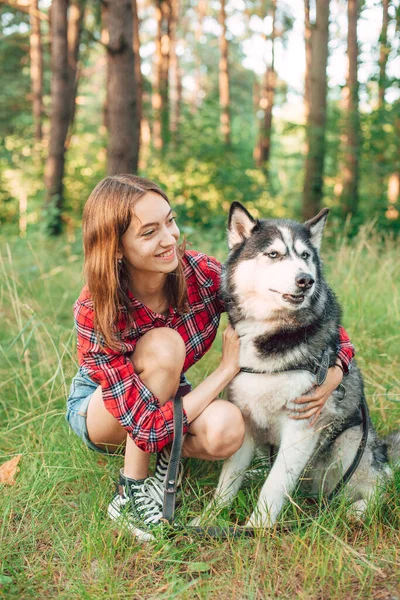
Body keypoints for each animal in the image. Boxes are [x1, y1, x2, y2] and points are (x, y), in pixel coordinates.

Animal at [197, 204, 396, 528]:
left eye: (305, 255)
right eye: (273, 254)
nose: (305, 280)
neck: (270, 333)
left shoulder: (301, 427)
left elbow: (273, 486)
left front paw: (256, 529)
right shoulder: (244, 422)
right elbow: (227, 481)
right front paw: (207, 519)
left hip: (351, 441)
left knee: (380, 484)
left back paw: (359, 508)